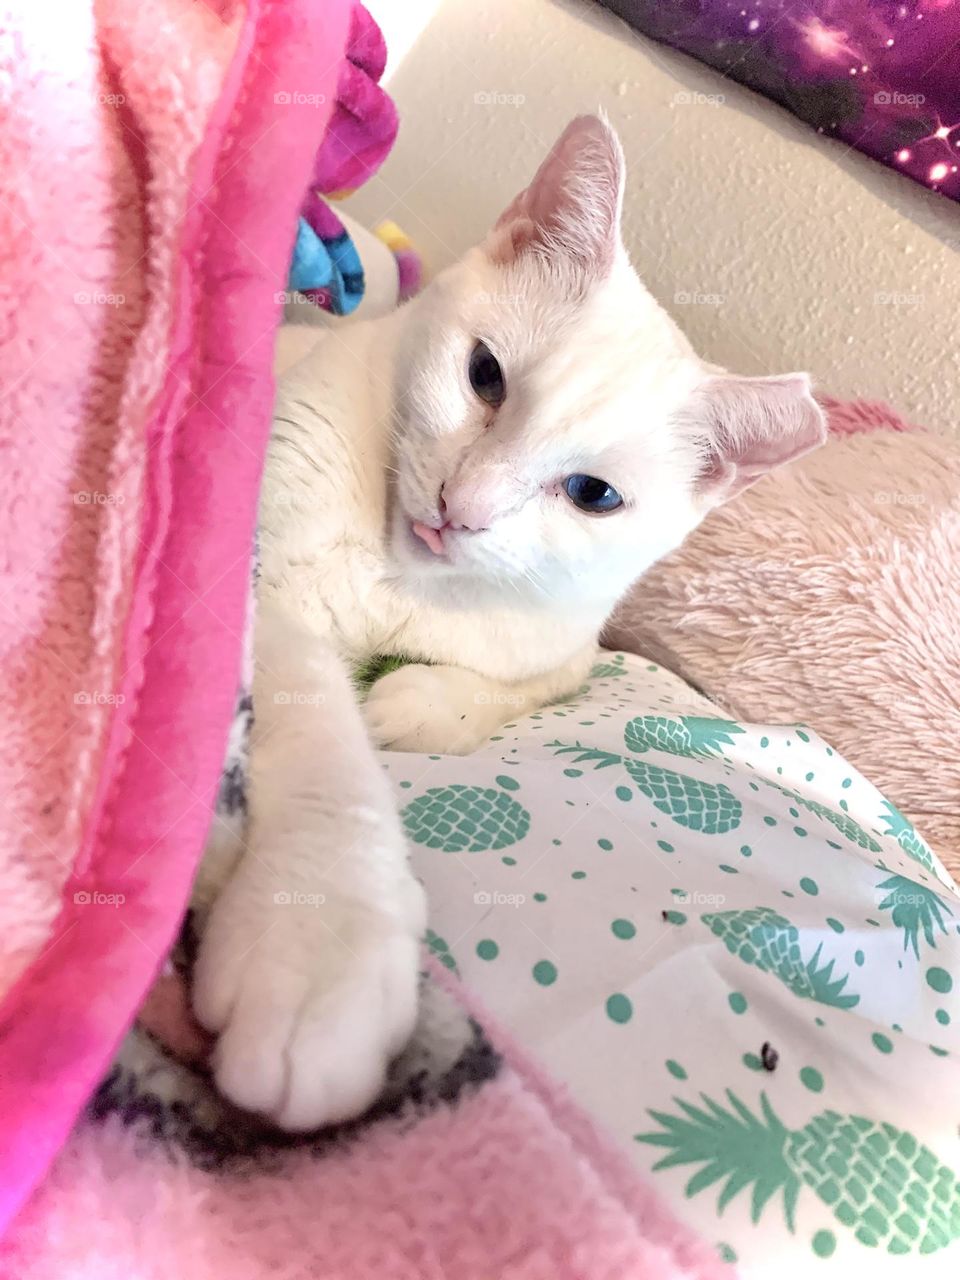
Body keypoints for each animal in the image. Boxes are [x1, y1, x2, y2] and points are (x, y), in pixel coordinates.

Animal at [193, 112, 829, 1131]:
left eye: (593, 494)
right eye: (483, 376)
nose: (464, 509)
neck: (405, 576)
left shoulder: (571, 649)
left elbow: (510, 692)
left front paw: (416, 704)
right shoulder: (267, 589)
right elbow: (329, 743)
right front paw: (325, 934)